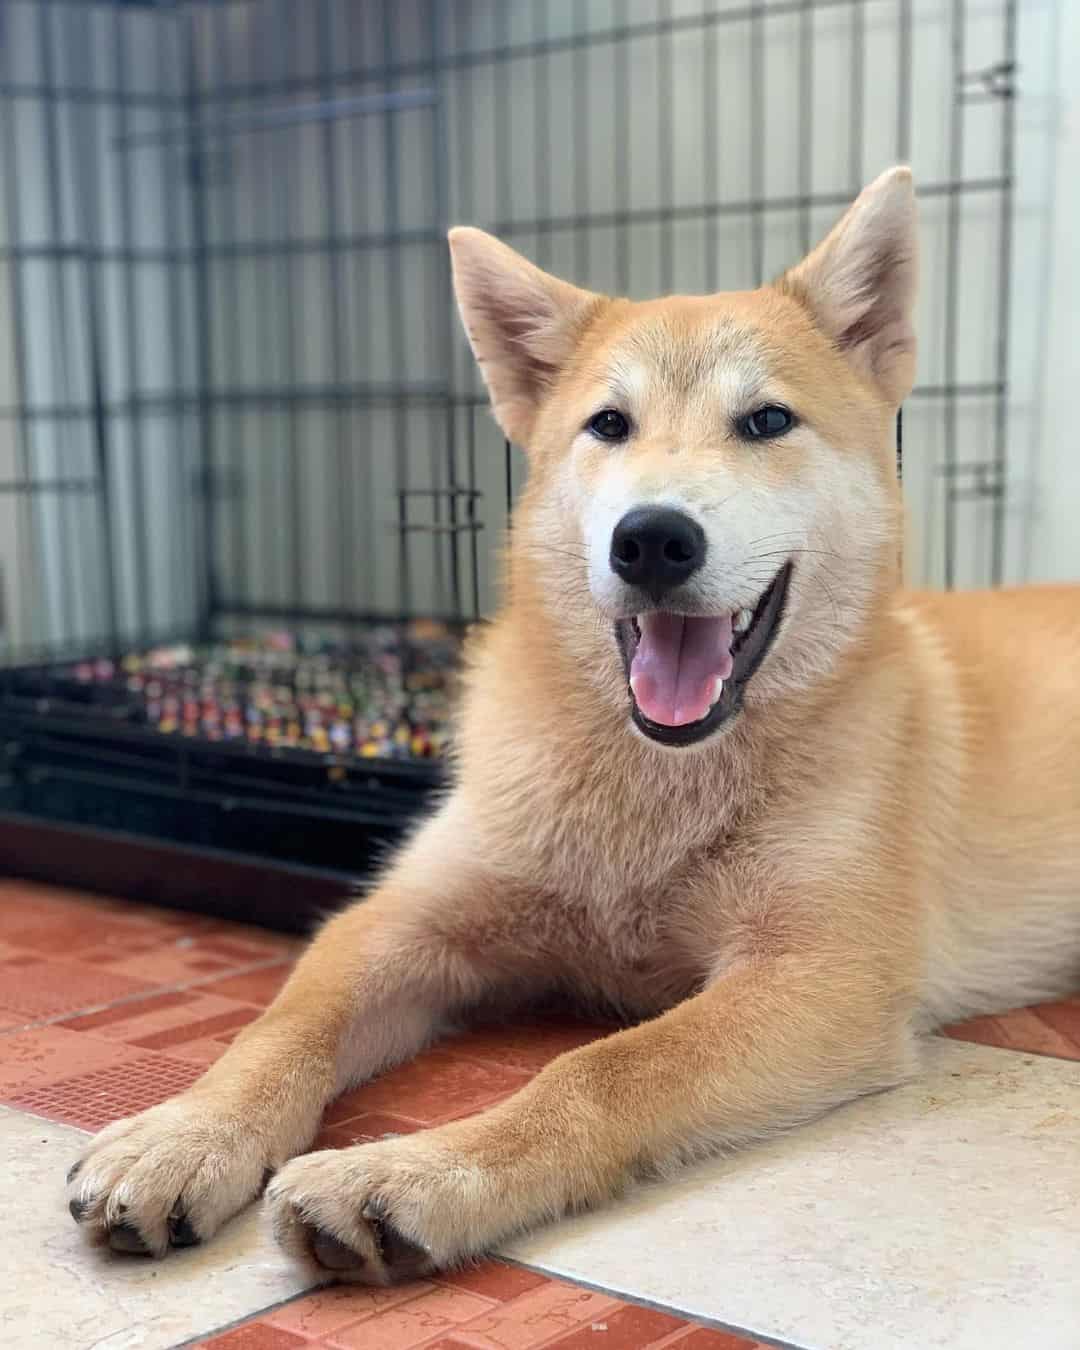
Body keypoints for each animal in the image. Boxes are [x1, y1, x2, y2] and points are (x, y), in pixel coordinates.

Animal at [65, 171, 1080, 1285]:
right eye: (608, 424)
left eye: (768, 420)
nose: (654, 539)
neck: (646, 782)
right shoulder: (404, 922)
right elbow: (282, 1027)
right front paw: (188, 1133)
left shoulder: (819, 979)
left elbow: (600, 1070)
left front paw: (417, 1175)